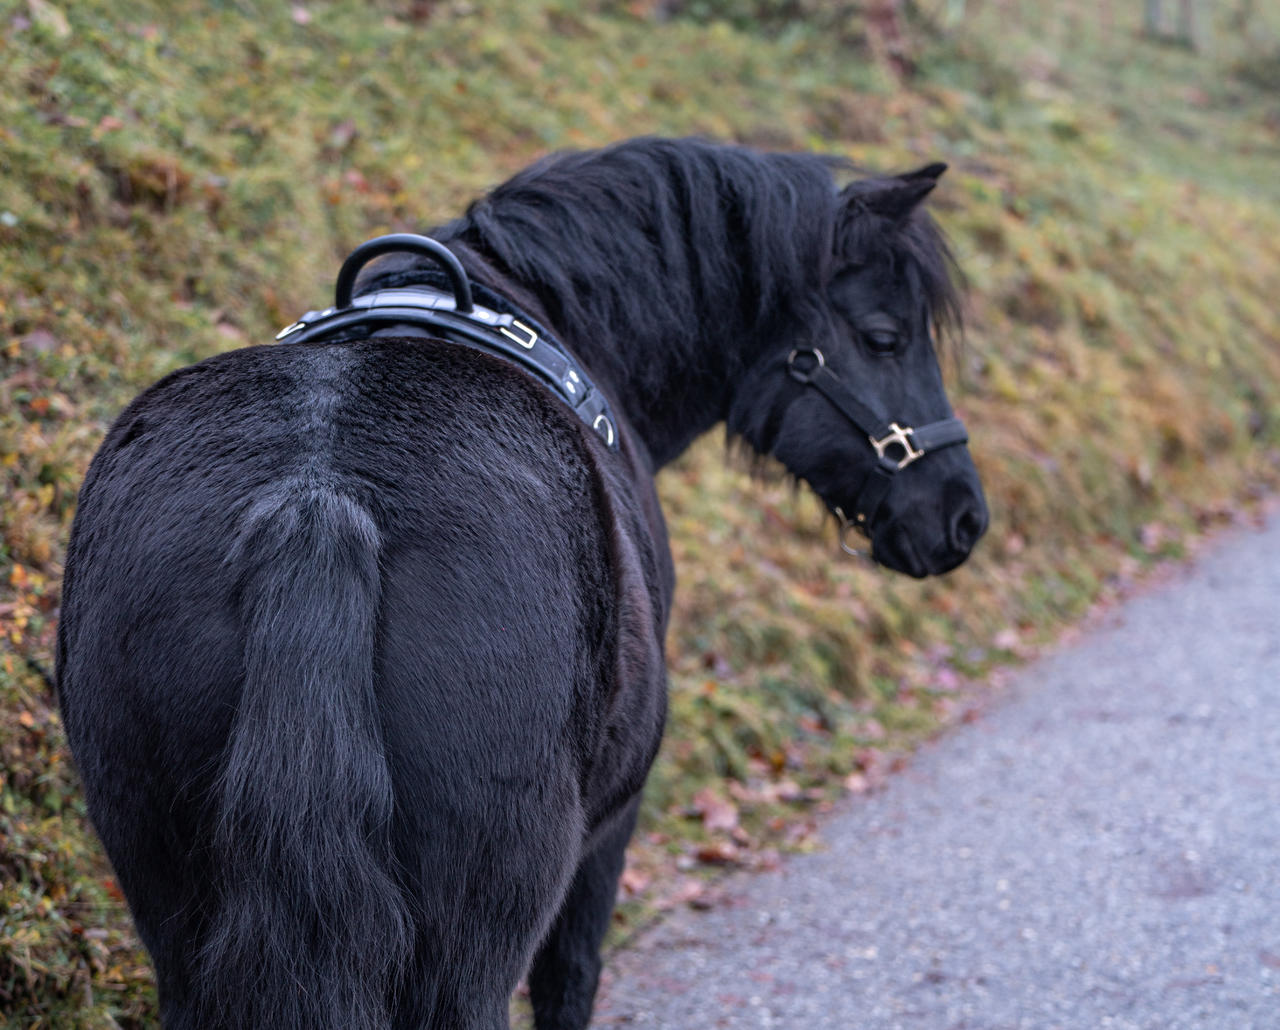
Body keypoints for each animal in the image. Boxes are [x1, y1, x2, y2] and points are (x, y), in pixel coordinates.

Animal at [55, 138, 983, 1028]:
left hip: (173, 904)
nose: (963, 515)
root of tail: (316, 499)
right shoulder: (605, 840)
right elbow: (570, 984)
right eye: (885, 336)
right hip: (482, 920)